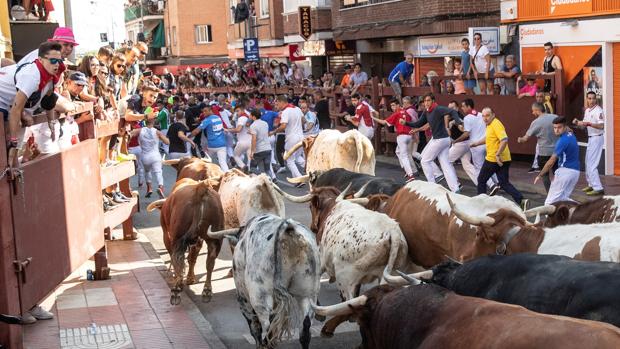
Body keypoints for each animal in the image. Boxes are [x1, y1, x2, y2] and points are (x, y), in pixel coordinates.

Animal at [207, 215, 320, 348]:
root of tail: (287, 229)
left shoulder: (243, 297)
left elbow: (254, 327)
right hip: (308, 293)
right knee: (305, 328)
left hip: (260, 298)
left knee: (267, 330)